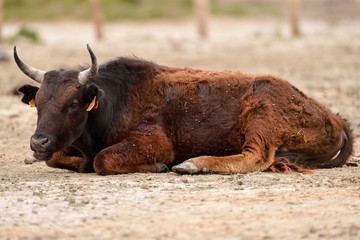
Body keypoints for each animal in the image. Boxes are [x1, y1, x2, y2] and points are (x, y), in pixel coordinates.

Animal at [13, 45, 352, 175]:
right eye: (38, 103)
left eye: (72, 103)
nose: (38, 142)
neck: (112, 100)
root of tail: (333, 117)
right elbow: (59, 158)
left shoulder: (154, 142)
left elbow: (102, 160)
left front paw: (159, 167)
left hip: (261, 117)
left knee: (255, 157)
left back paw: (193, 164)